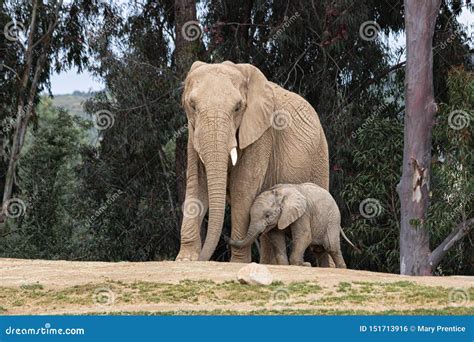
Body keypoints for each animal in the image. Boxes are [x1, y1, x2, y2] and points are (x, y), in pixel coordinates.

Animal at [176, 61, 328, 264]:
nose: (204, 259)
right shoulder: (193, 134)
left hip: (320, 156)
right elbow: (197, 183)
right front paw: (185, 260)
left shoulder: (262, 133)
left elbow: (243, 187)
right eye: (192, 106)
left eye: (238, 107)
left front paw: (238, 263)